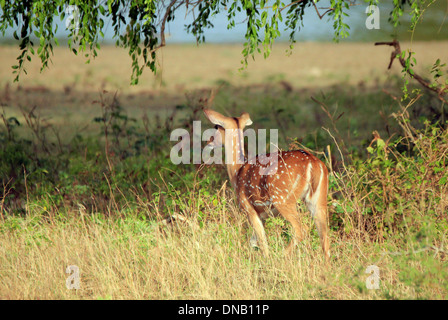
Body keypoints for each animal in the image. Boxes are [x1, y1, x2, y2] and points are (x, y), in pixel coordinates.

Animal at [203, 109, 328, 262]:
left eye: (216, 127)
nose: (208, 141)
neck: (237, 171)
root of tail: (313, 164)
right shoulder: (262, 215)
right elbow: (253, 242)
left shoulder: (248, 208)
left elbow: (262, 242)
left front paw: (265, 261)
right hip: (318, 198)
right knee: (324, 235)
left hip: (283, 198)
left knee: (300, 229)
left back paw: (280, 258)